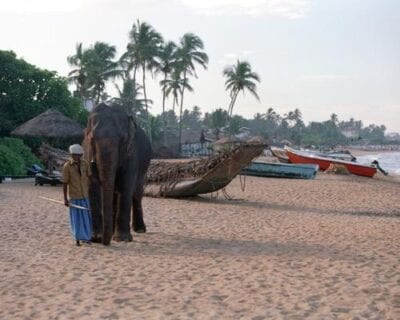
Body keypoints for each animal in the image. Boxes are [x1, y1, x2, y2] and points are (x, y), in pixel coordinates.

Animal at [83, 102, 152, 245]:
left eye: (123, 139)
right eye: (92, 137)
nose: (104, 242)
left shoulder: (132, 154)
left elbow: (126, 186)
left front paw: (122, 239)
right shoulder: (88, 151)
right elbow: (92, 185)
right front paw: (95, 237)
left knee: (137, 193)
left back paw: (139, 230)